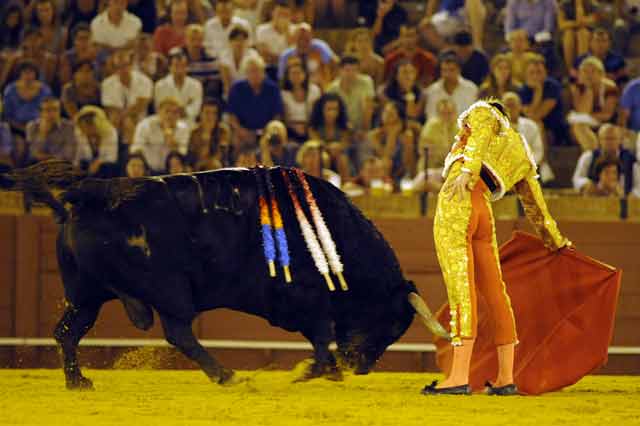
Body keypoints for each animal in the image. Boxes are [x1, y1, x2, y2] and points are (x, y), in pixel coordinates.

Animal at [0, 161, 448, 390]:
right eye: (393, 323)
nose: (362, 366)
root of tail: (81, 199)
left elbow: (321, 338)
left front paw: (324, 371)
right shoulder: (307, 299)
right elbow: (322, 335)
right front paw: (317, 371)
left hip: (86, 295)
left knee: (67, 332)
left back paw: (78, 381)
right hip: (168, 290)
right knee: (178, 332)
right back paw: (225, 375)